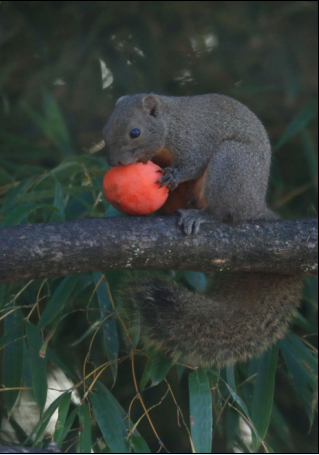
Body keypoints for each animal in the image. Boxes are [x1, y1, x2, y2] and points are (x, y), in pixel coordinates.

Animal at [103, 94, 304, 368]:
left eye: (135, 132)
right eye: (106, 126)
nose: (113, 162)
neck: (170, 124)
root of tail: (256, 207)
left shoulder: (196, 138)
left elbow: (195, 163)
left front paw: (174, 175)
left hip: (230, 164)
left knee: (223, 212)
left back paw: (201, 216)